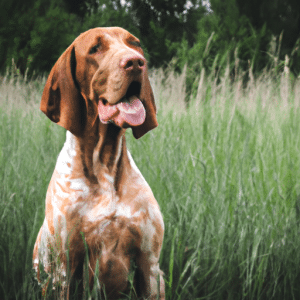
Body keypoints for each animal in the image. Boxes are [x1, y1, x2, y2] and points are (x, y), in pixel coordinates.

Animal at [33, 27, 164, 298]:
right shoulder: (65, 270)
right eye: (95, 49)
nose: (136, 62)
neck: (104, 164)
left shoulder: (150, 264)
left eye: (135, 44)